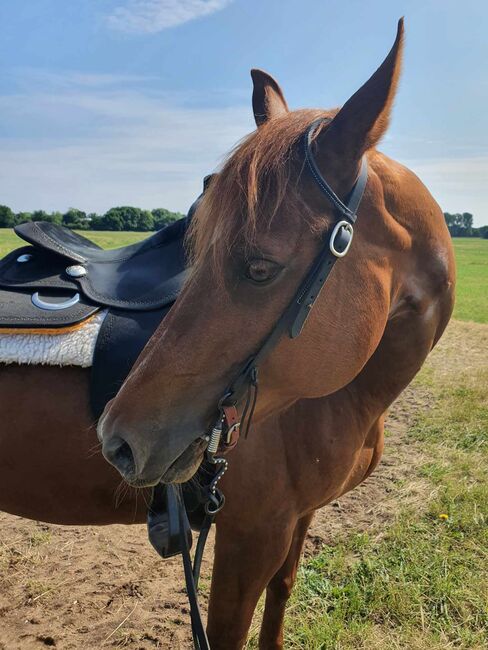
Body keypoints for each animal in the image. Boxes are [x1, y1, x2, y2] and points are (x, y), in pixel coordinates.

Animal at [1, 19, 456, 648]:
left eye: (260, 267)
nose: (117, 440)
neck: (349, 402)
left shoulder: (295, 521)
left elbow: (281, 599)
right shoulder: (249, 536)